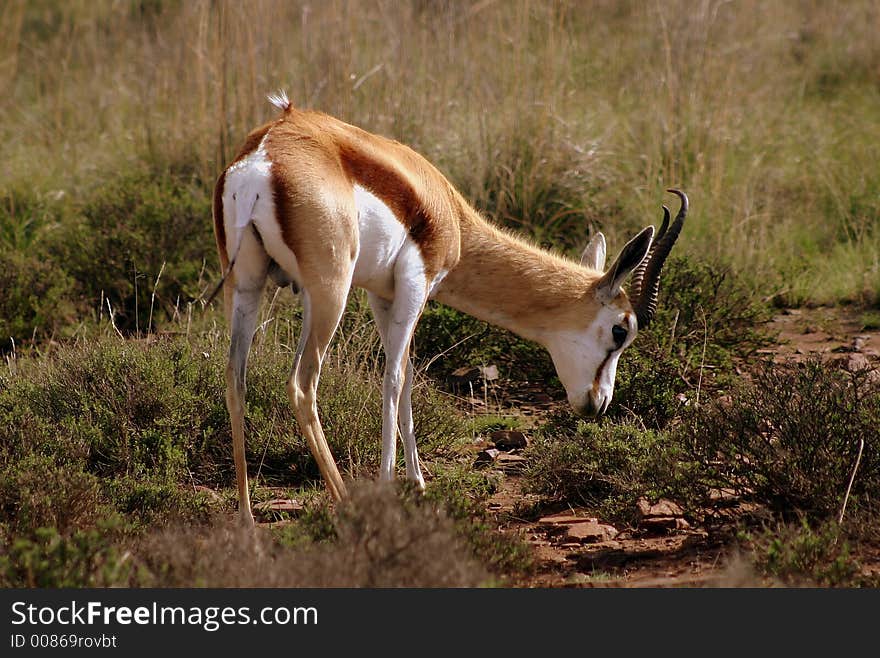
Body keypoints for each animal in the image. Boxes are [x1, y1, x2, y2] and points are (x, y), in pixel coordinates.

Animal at [213, 91, 688, 524]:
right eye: (621, 330)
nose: (598, 403)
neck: (447, 210)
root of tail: (263, 156)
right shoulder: (416, 283)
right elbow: (395, 377)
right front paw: (392, 488)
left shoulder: (381, 294)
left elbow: (405, 378)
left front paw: (418, 483)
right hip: (329, 291)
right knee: (302, 382)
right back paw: (346, 504)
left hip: (246, 285)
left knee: (235, 377)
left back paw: (247, 523)